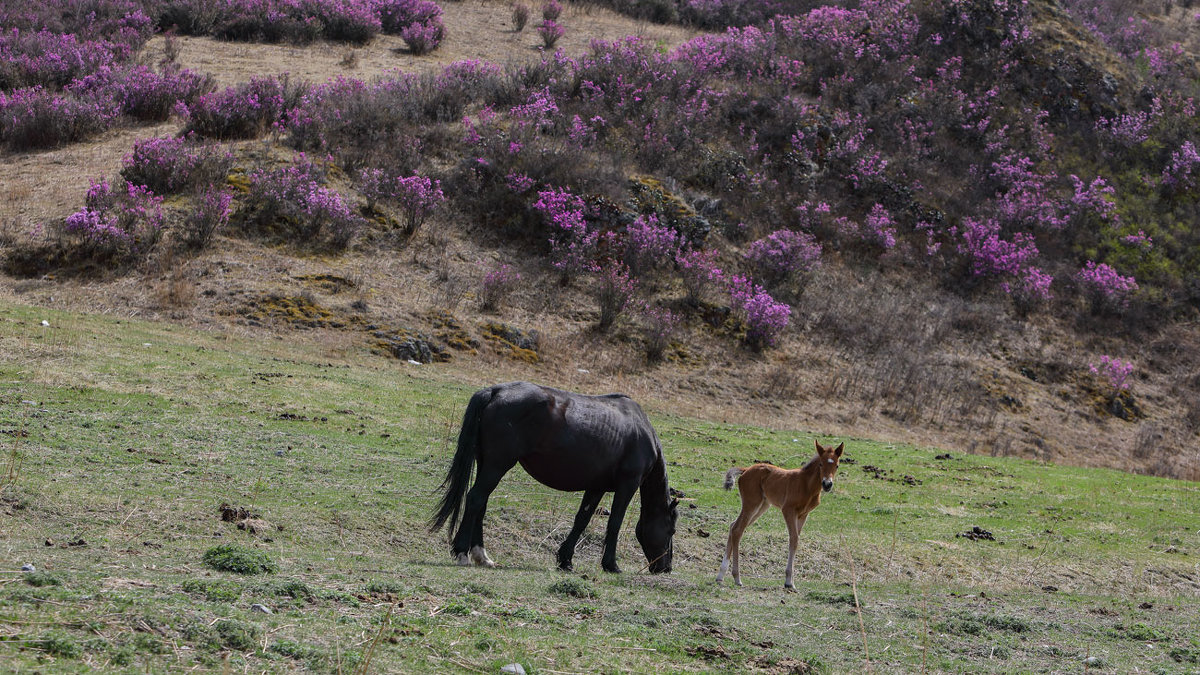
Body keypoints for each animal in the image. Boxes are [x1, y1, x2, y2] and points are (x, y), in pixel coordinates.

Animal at [429, 381, 676, 569]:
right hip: (496, 466)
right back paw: (462, 553)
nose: (665, 568)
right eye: (671, 530)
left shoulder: (596, 486)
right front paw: (610, 565)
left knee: (481, 503)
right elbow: (614, 522)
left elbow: (581, 520)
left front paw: (565, 560)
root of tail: (496, 391)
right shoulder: (628, 485)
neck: (642, 432)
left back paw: (482, 556)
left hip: (487, 465)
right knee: (475, 499)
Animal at [715, 439, 849, 586]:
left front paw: (790, 581)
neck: (806, 485)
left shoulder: (803, 515)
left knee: (733, 525)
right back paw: (737, 577)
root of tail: (745, 470)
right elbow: (794, 539)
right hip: (751, 504)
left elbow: (796, 540)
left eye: (837, 465)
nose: (827, 484)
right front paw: (789, 581)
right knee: (737, 529)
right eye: (820, 464)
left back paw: (720, 575)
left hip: (762, 506)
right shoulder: (788, 510)